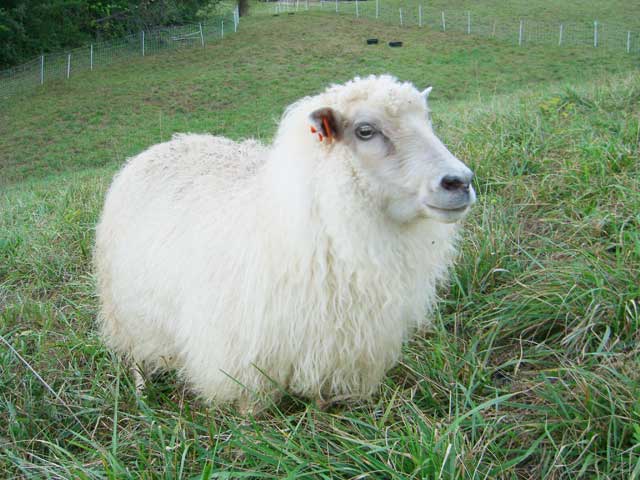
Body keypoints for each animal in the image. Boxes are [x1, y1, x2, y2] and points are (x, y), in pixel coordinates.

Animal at [95, 76, 476, 408]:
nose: (460, 181)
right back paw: (143, 392)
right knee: (135, 353)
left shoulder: (340, 346)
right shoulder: (241, 358)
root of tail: (160, 146)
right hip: (126, 308)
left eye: (427, 120)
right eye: (365, 131)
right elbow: (251, 408)